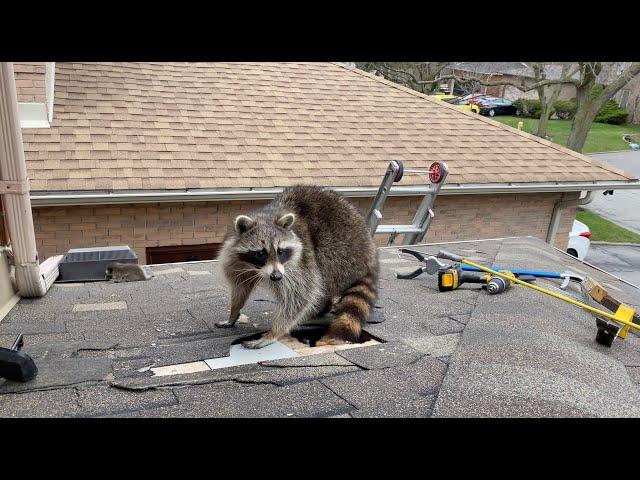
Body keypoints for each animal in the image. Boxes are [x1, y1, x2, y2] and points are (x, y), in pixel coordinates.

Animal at [218, 187, 378, 348]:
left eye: (280, 251)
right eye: (260, 253)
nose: (276, 276)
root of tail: (369, 252)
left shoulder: (299, 262)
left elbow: (299, 295)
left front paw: (273, 332)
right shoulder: (236, 260)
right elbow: (240, 286)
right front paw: (234, 312)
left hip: (342, 251)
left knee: (322, 271)